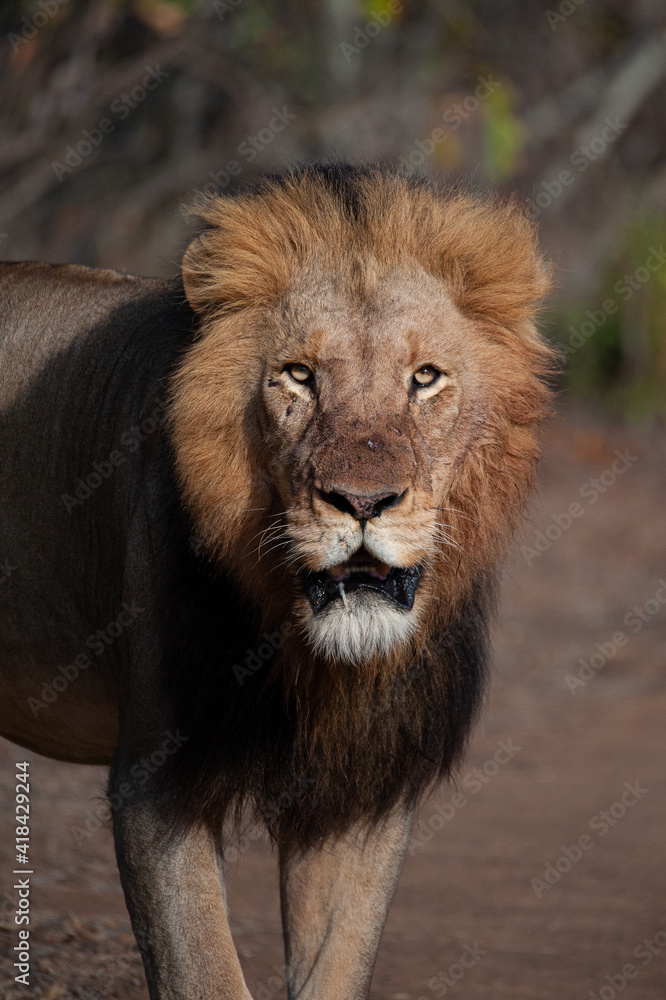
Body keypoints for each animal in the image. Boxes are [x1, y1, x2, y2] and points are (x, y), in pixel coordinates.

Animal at [0, 165, 552, 999]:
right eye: (299, 376)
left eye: (425, 379)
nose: (363, 502)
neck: (311, 652)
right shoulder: (157, 785)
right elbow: (205, 973)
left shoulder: (360, 793)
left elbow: (335, 969)